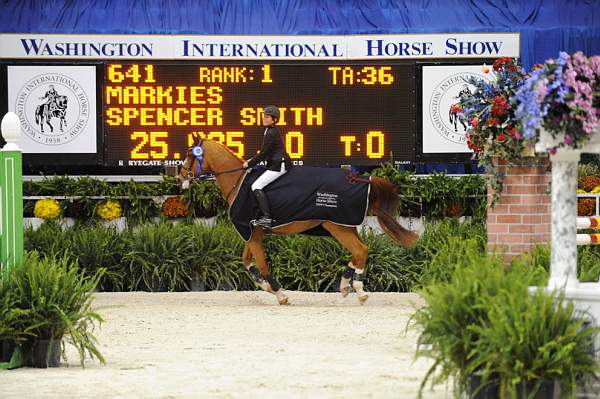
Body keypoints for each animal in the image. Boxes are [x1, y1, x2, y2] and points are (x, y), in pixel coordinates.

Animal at [178, 141, 418, 306]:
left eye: (191, 155)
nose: (181, 177)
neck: (239, 183)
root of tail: (361, 178)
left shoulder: (251, 234)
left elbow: (261, 265)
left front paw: (279, 293)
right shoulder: (254, 233)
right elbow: (247, 262)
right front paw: (266, 286)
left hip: (337, 226)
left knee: (360, 250)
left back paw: (358, 289)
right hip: (345, 225)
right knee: (360, 251)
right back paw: (345, 286)